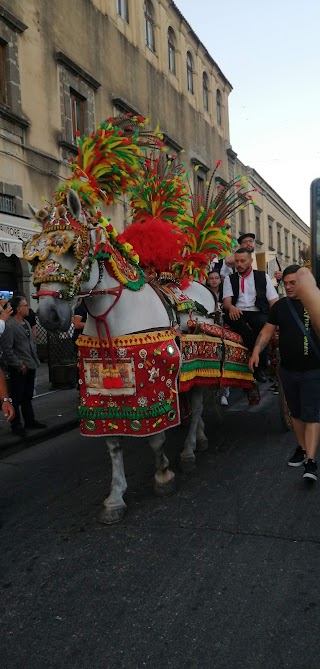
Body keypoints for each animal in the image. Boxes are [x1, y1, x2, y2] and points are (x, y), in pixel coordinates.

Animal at [28, 190, 211, 524]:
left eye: (71, 250)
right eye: (33, 257)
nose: (48, 315)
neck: (114, 317)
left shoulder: (154, 383)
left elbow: (156, 437)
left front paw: (163, 476)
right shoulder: (97, 386)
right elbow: (113, 443)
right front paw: (115, 497)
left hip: (198, 366)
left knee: (199, 406)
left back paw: (191, 449)